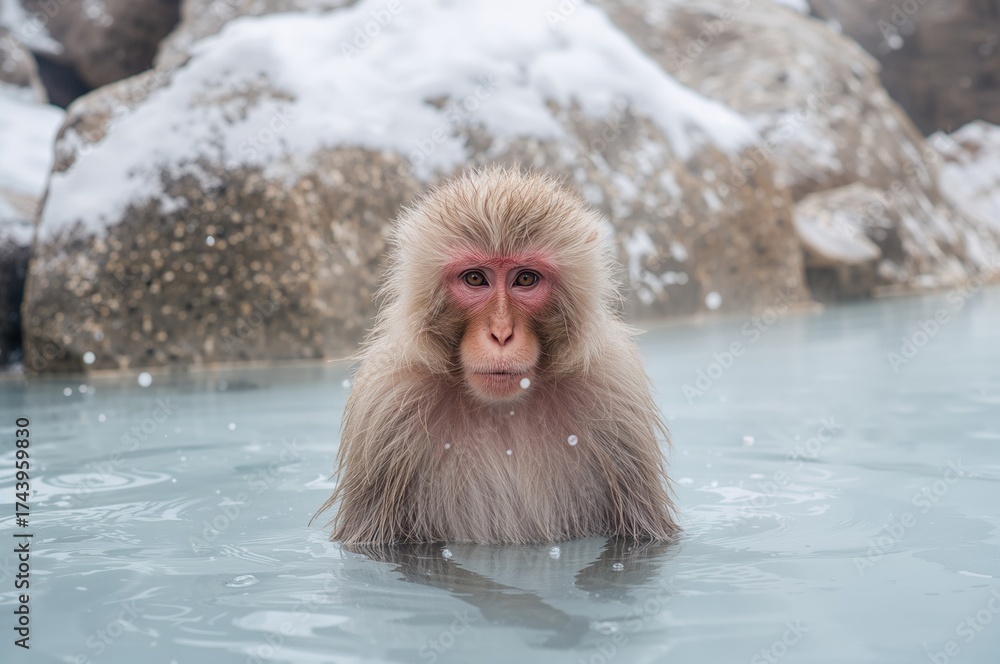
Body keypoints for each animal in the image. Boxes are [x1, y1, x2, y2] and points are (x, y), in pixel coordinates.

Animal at [313, 166, 679, 546]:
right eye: (476, 278)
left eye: (526, 279)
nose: (501, 333)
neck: (503, 408)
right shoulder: (385, 404)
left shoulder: (616, 397)